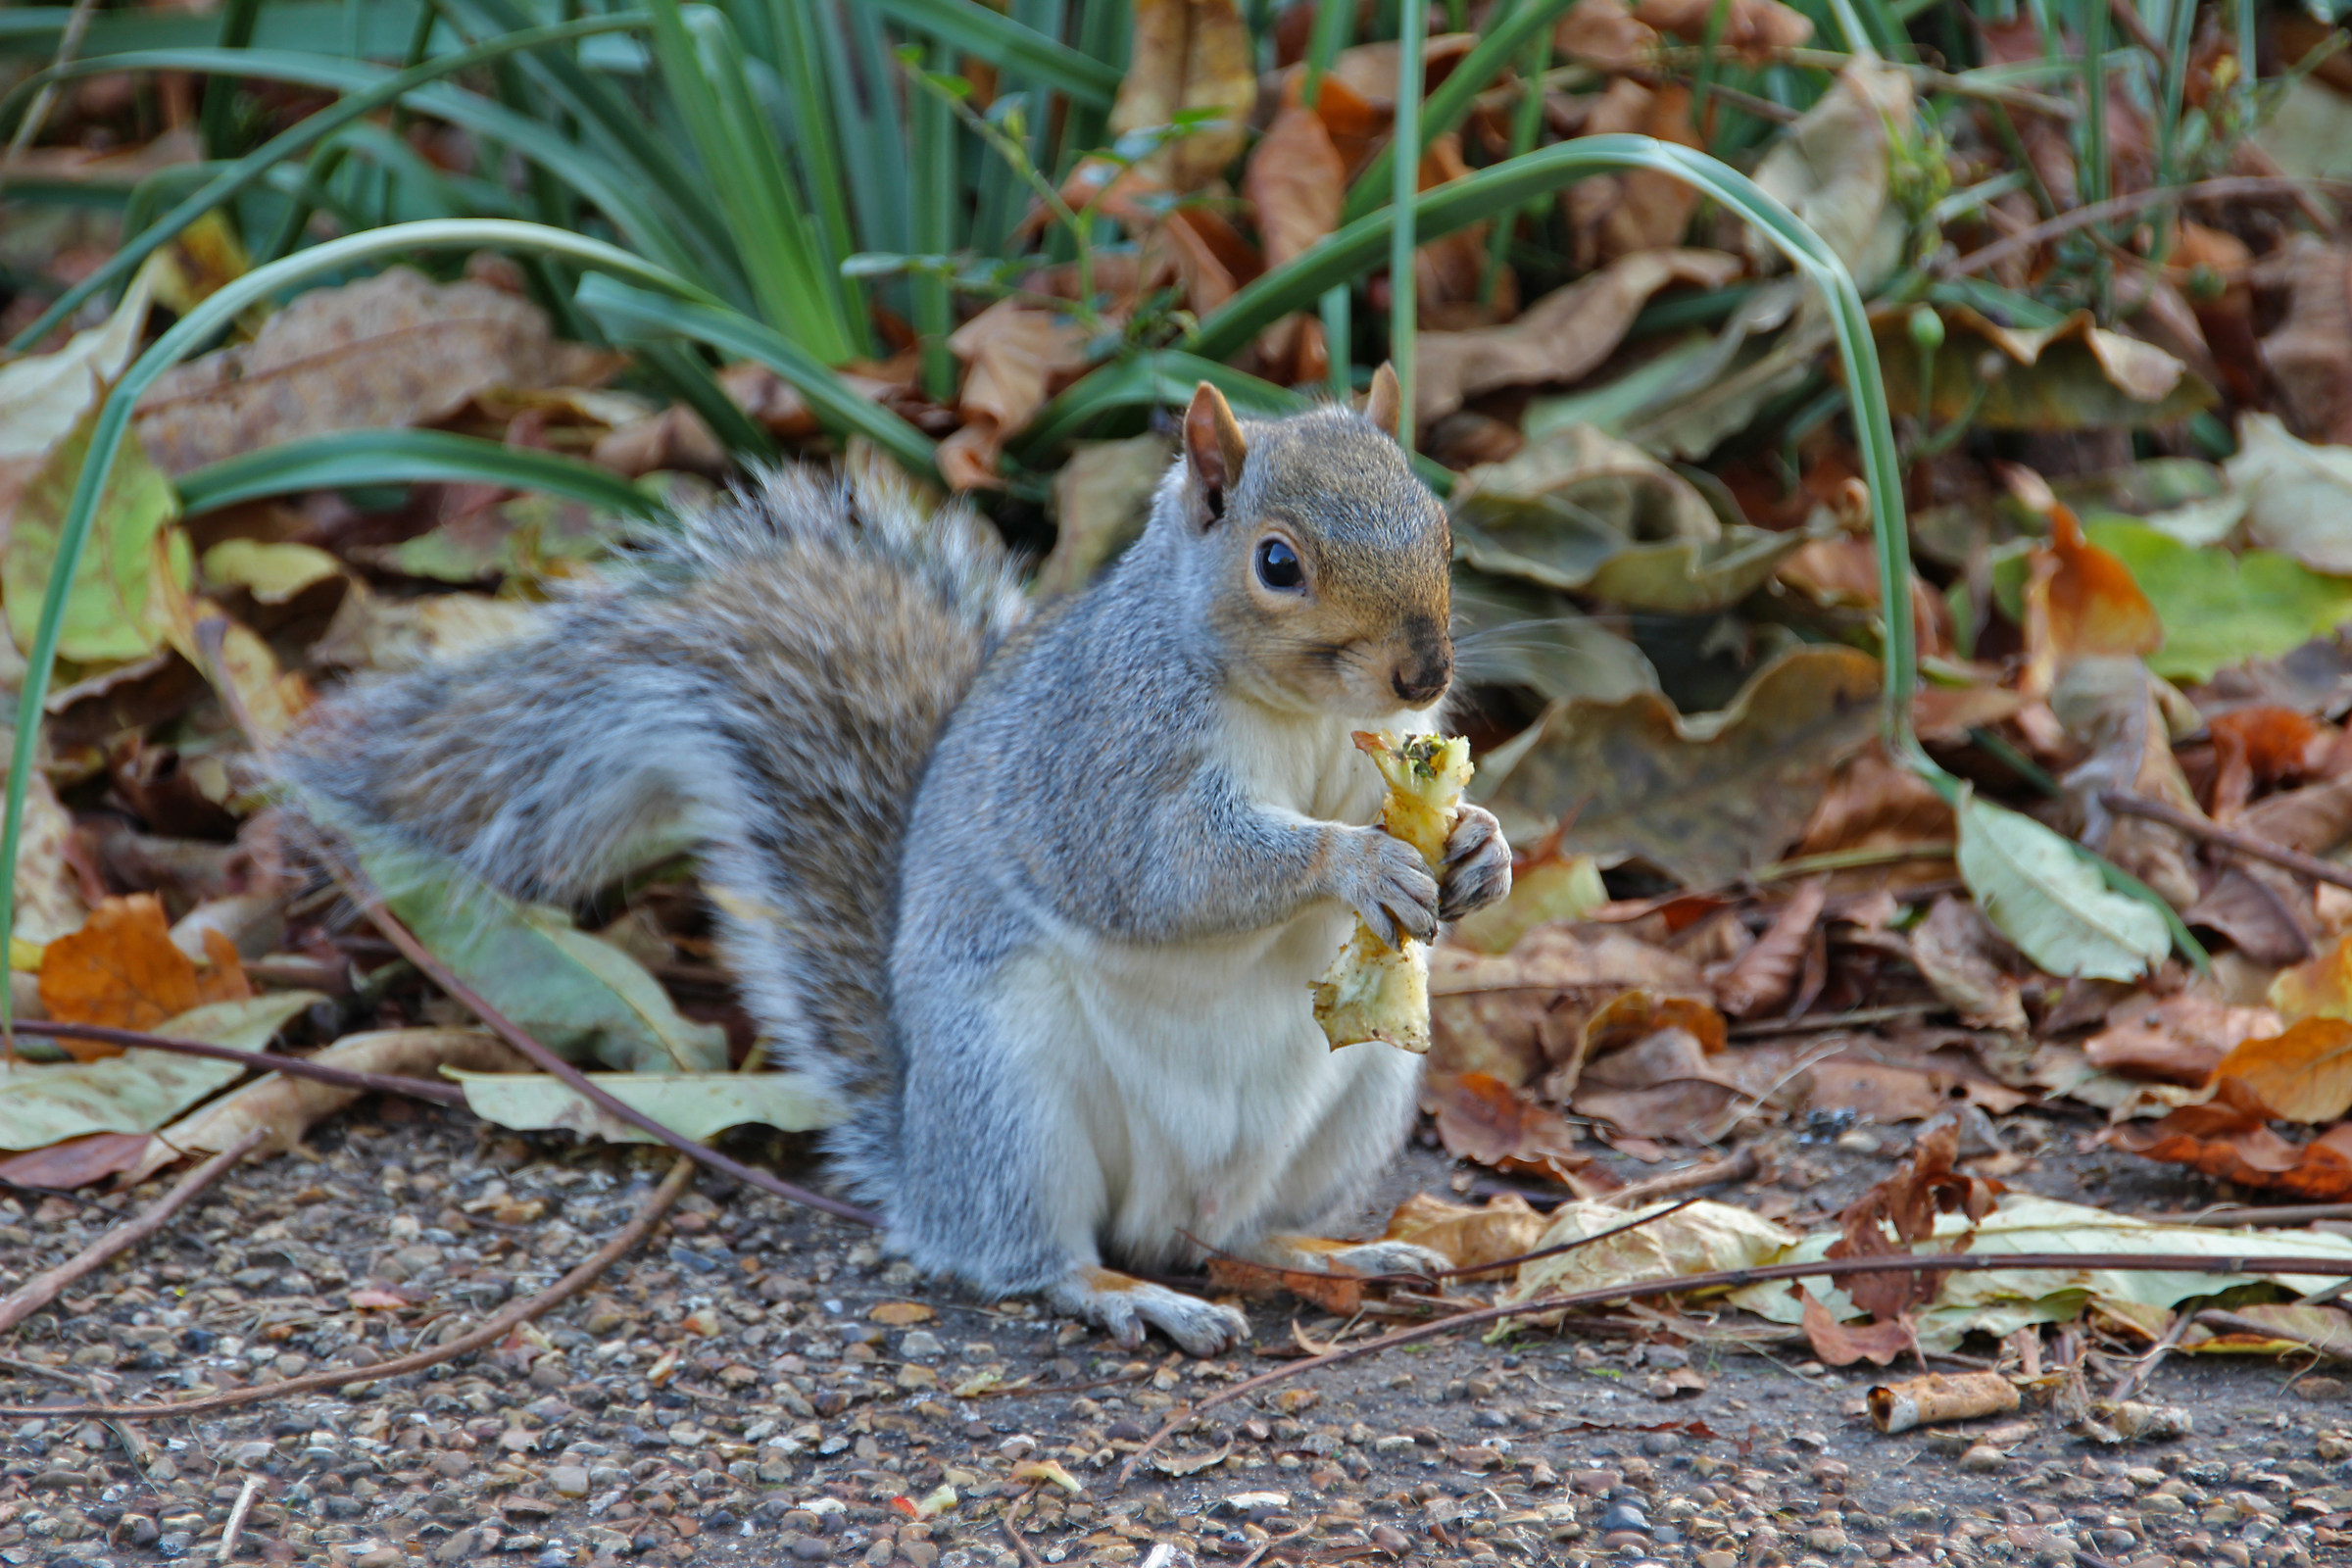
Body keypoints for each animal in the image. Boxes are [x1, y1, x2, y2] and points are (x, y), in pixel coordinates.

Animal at [280, 364, 1513, 1354]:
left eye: (1445, 528)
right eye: (1277, 562)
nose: (1422, 670)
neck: (1302, 718)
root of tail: (924, 1160)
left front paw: (1481, 850)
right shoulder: (1102, 758)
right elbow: (1163, 870)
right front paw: (1355, 862)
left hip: (1361, 1100)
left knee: (1246, 1231)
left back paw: (1338, 1252)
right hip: (1010, 1092)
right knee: (1035, 1257)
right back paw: (1134, 1294)